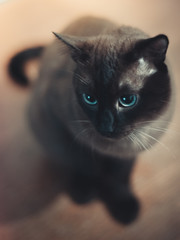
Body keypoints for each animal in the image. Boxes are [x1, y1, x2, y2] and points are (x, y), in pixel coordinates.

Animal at [7, 16, 172, 223]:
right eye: (90, 99)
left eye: (127, 100)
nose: (106, 126)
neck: (110, 149)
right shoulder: (73, 136)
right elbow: (84, 165)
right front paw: (85, 193)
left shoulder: (130, 150)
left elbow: (119, 177)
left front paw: (124, 208)